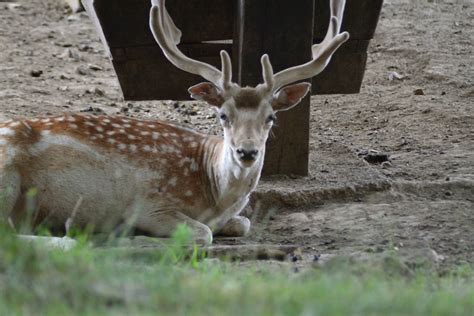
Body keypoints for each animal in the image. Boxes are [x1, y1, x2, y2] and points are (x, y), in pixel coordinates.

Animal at [0, 0, 348, 244]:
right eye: (223, 115)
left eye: (271, 118)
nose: (247, 152)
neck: (214, 198)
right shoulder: (152, 204)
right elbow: (203, 233)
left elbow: (245, 224)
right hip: (7, 175)